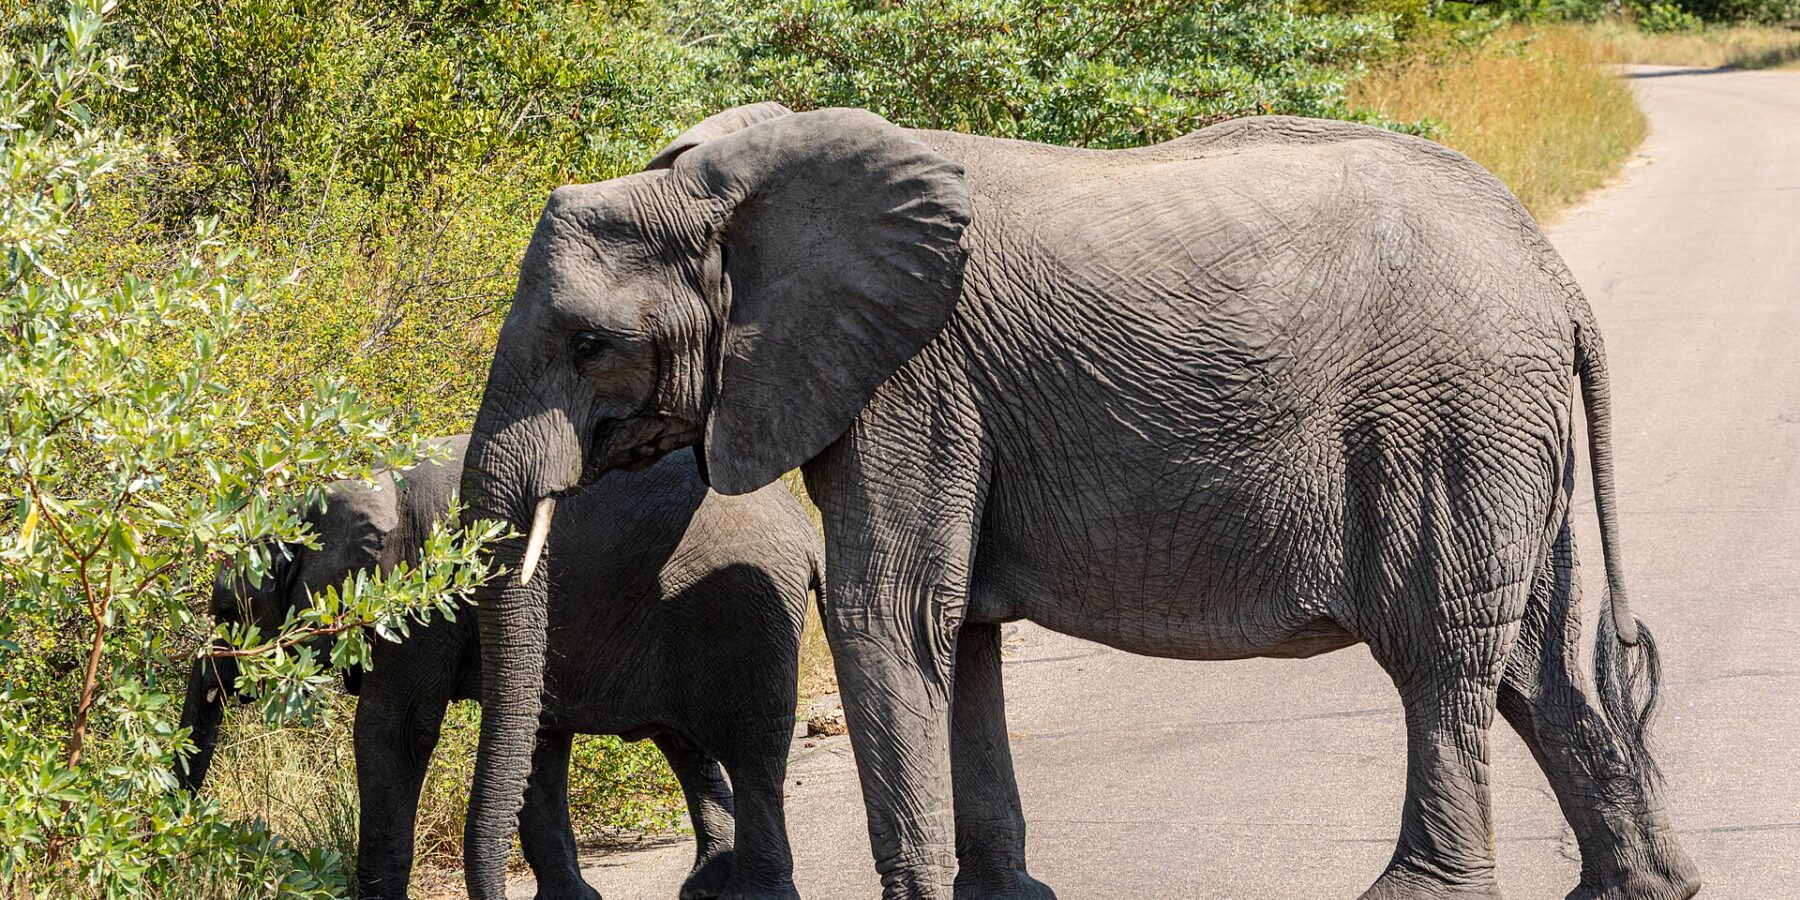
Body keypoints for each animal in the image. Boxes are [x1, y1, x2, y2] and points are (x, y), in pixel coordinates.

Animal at [175, 435, 821, 900]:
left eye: (226, 612)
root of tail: (805, 530)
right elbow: (536, 743)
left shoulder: (412, 592)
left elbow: (394, 729)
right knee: (689, 748)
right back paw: (707, 886)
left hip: (742, 612)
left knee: (752, 750)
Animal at [454, 102, 1700, 900]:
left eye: (590, 344)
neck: (720, 187)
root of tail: (1555, 279)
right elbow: (957, 629)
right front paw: (1004, 895)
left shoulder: (915, 380)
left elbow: (882, 613)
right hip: (1502, 434)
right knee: (1531, 662)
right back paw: (1640, 887)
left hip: (1449, 420)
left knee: (1443, 656)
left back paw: (1420, 893)